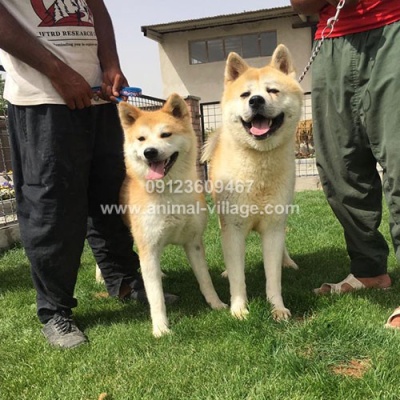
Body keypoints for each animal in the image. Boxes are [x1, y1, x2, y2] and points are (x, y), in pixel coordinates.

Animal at [117, 94, 227, 338]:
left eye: (165, 134)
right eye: (141, 138)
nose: (149, 152)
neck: (169, 193)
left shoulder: (193, 242)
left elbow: (205, 279)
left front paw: (216, 304)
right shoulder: (148, 246)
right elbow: (155, 296)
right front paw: (160, 328)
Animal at [203, 45, 304, 320]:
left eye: (273, 90)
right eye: (245, 94)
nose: (256, 101)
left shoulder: (273, 227)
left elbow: (273, 278)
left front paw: (277, 308)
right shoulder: (234, 227)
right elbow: (238, 277)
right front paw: (239, 309)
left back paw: (288, 261)